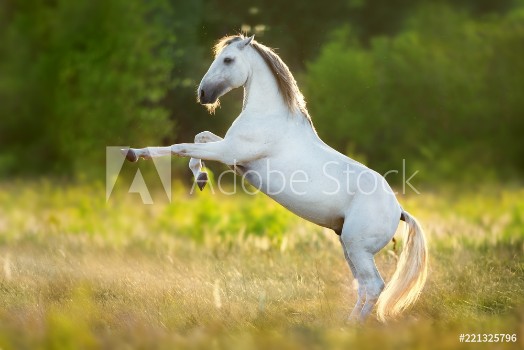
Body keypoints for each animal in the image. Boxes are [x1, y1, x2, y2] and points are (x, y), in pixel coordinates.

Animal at [125, 34, 428, 322]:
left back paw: (354, 326)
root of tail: (399, 210)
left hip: (358, 248)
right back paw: (348, 323)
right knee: (363, 287)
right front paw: (200, 178)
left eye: (228, 59)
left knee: (374, 285)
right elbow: (199, 137)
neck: (269, 116)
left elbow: (180, 146)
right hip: (348, 246)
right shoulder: (232, 157)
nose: (203, 94)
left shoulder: (228, 152)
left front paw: (134, 153)